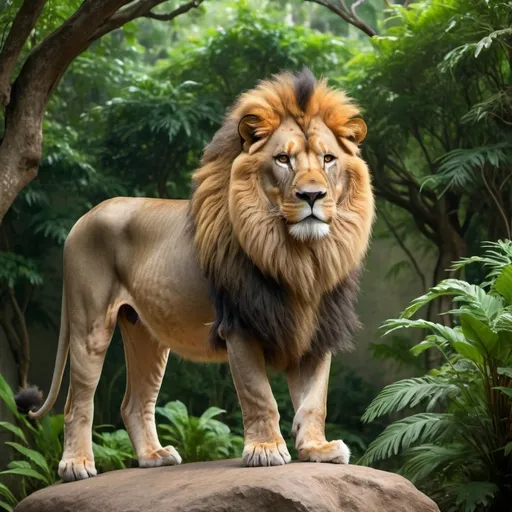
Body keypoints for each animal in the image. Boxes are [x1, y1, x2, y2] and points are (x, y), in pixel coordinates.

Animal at [28, 68, 374, 480]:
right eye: (283, 159)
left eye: (328, 158)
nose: (311, 196)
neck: (301, 258)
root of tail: (80, 220)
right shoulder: (239, 325)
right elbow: (259, 395)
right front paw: (265, 450)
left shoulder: (317, 331)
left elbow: (313, 400)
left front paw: (317, 449)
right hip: (89, 324)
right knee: (77, 401)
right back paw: (76, 465)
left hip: (145, 333)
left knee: (133, 402)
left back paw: (154, 456)